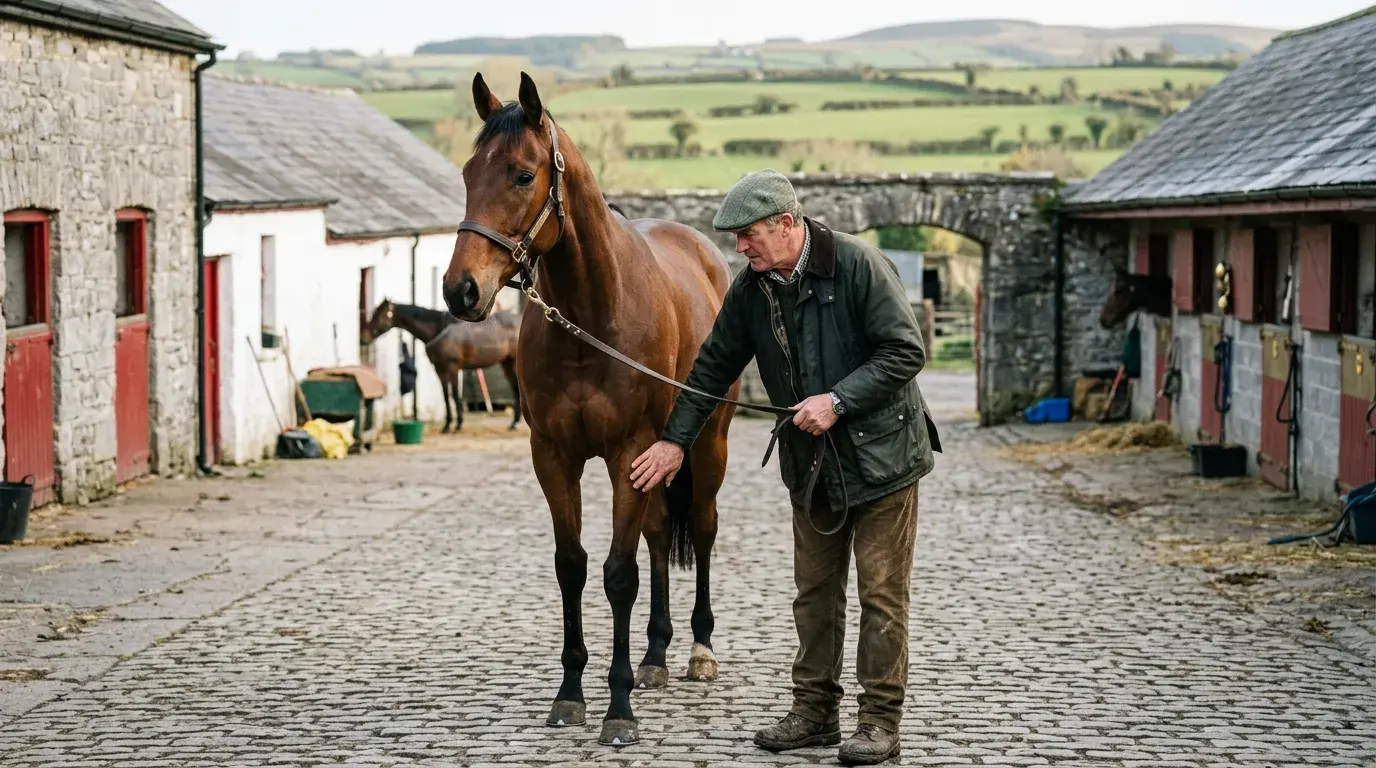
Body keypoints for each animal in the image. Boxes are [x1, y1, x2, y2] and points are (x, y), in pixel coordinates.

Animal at [361, 299, 522, 432]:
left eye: (381, 315)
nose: (364, 338)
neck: (439, 329)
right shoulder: (439, 369)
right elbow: (445, 395)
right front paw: (447, 425)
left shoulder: (453, 367)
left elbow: (455, 394)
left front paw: (458, 424)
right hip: (506, 363)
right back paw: (514, 422)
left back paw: (515, 423)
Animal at [442, 71, 737, 747]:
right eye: (468, 173)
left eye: (523, 175)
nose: (461, 290)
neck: (590, 317)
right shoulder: (554, 455)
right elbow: (572, 567)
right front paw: (571, 694)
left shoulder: (629, 451)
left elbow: (618, 574)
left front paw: (618, 707)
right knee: (660, 532)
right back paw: (655, 656)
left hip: (706, 445)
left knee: (702, 527)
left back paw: (698, 650)